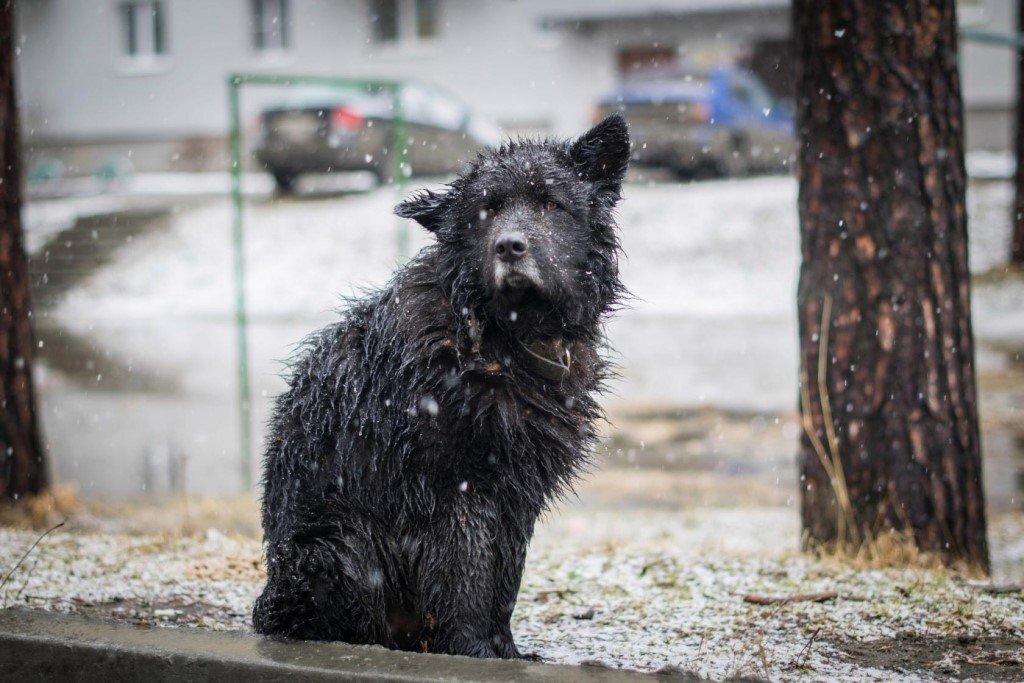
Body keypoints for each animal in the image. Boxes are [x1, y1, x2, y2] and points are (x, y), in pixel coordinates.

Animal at [251, 114, 626, 659]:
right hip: (337, 546)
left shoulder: (516, 493)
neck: (501, 341)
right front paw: (474, 651)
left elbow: (504, 581)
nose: (509, 246)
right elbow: (465, 577)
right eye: (487, 212)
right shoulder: (455, 487)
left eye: (551, 204)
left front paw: (507, 651)